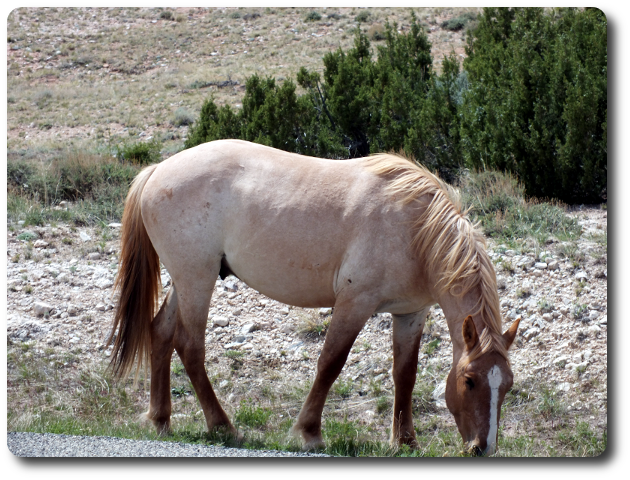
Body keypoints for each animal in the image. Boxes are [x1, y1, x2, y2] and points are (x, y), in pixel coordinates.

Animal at [110, 140, 524, 458]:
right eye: (469, 381)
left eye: (507, 385)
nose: (483, 448)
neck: (416, 229)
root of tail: (158, 169)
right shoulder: (355, 303)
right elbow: (330, 363)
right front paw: (308, 432)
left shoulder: (411, 313)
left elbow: (405, 375)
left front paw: (405, 440)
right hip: (197, 278)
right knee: (189, 345)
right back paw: (222, 425)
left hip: (185, 280)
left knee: (161, 333)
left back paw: (160, 418)